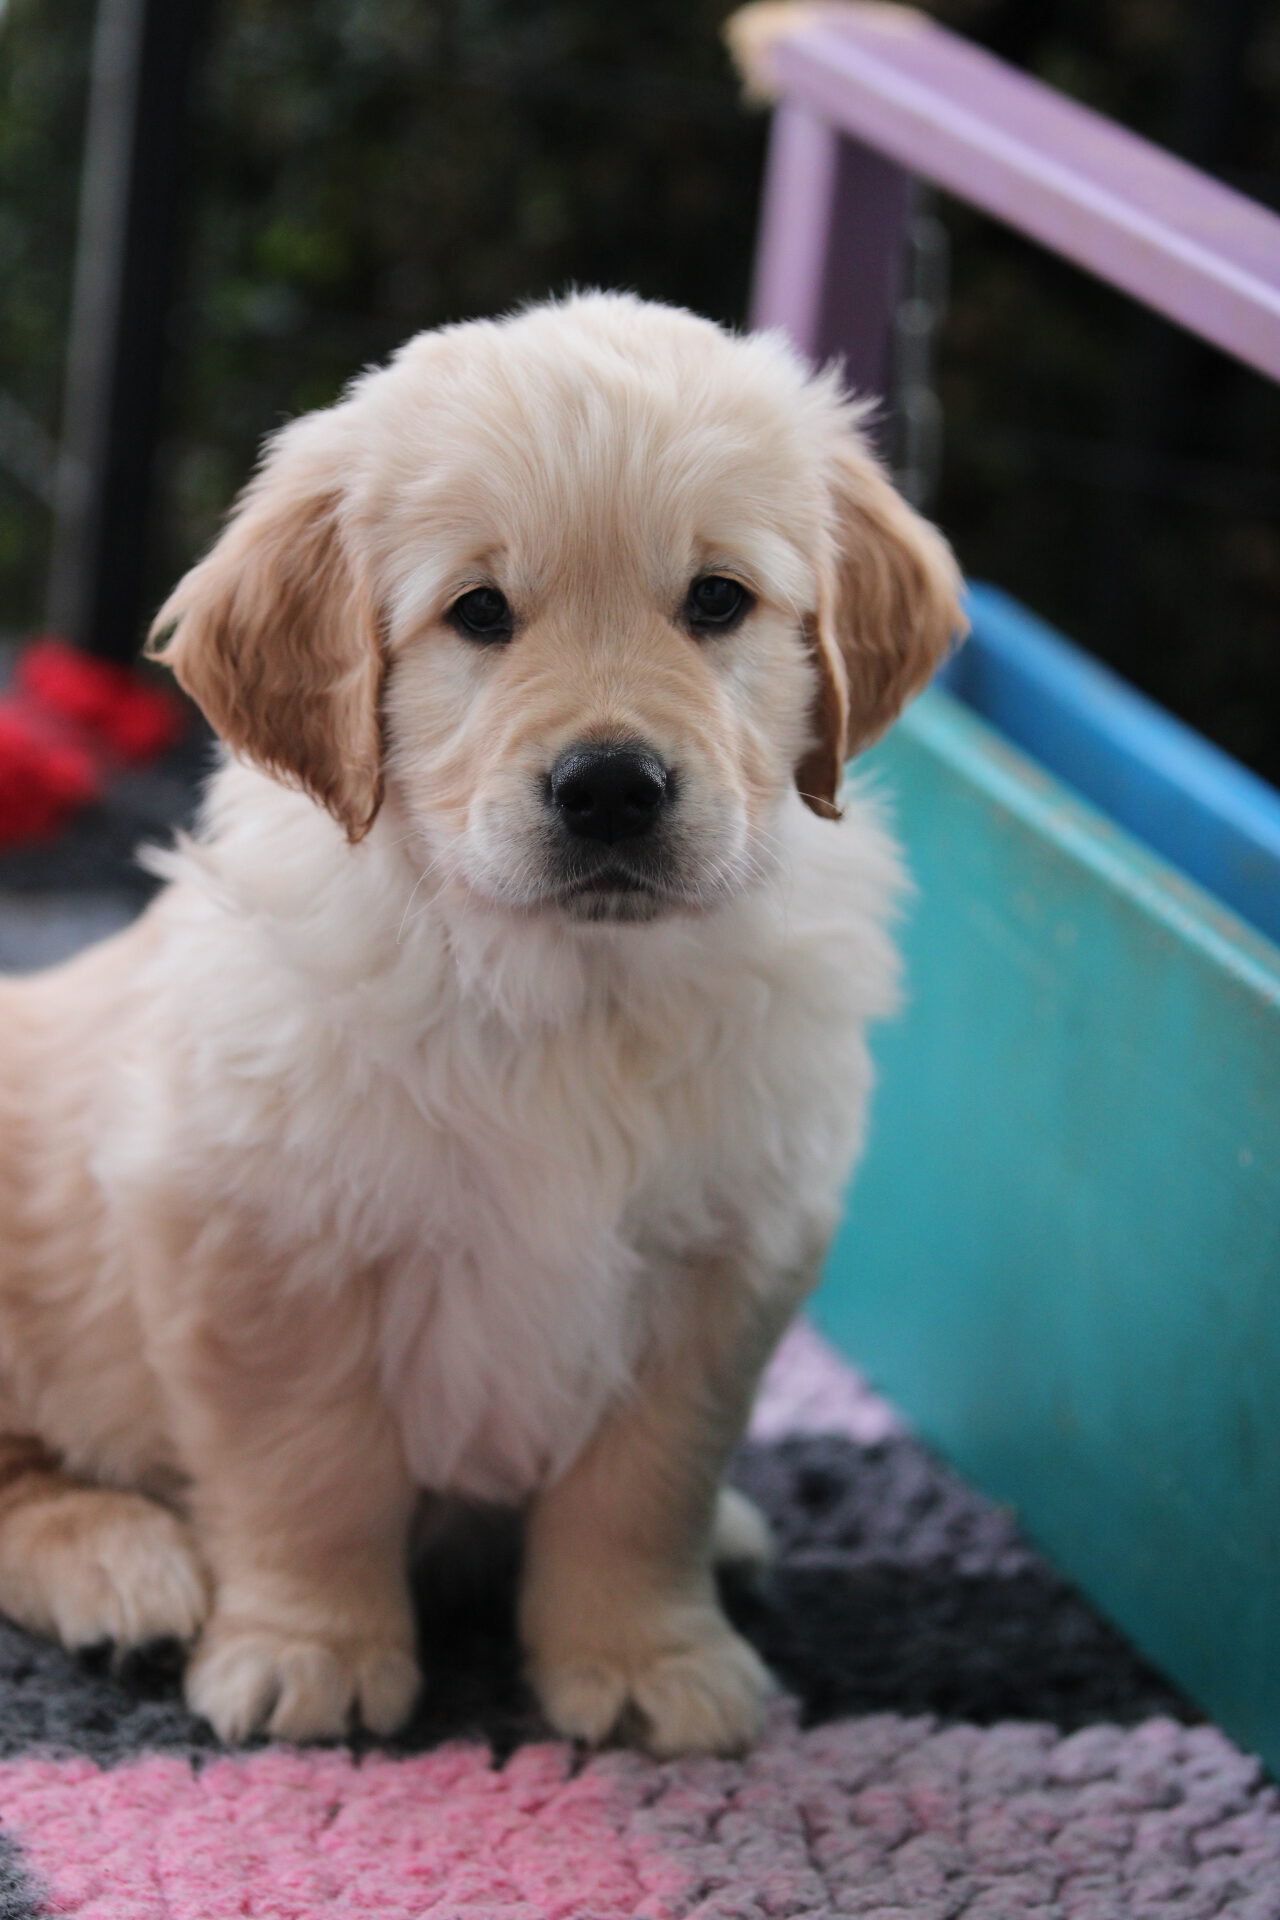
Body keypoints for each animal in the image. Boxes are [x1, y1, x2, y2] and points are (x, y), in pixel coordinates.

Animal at [0, 293, 961, 1756]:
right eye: (479, 613)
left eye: (718, 599)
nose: (612, 787)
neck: (569, 986)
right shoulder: (262, 1232)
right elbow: (310, 1468)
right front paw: (312, 1654)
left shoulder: (724, 1258)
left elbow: (647, 1485)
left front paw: (647, 1660)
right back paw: (124, 1568)